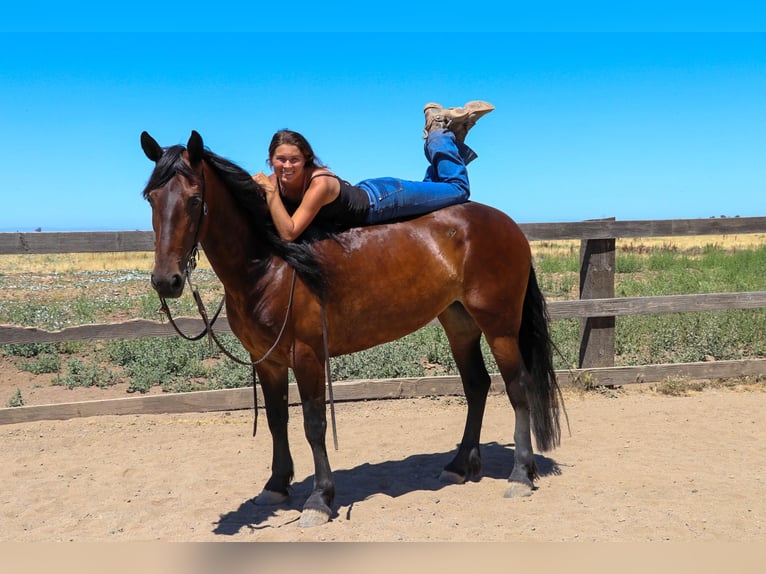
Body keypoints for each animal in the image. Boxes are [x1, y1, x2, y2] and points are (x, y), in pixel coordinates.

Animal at [140, 130, 562, 528]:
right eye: (151, 198)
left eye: (194, 199)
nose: (166, 281)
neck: (271, 265)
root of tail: (509, 226)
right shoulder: (267, 361)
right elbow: (278, 421)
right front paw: (275, 486)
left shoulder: (306, 355)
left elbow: (313, 424)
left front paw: (319, 500)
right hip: (459, 323)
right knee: (477, 386)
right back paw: (459, 466)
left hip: (500, 326)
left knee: (518, 387)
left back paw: (520, 475)